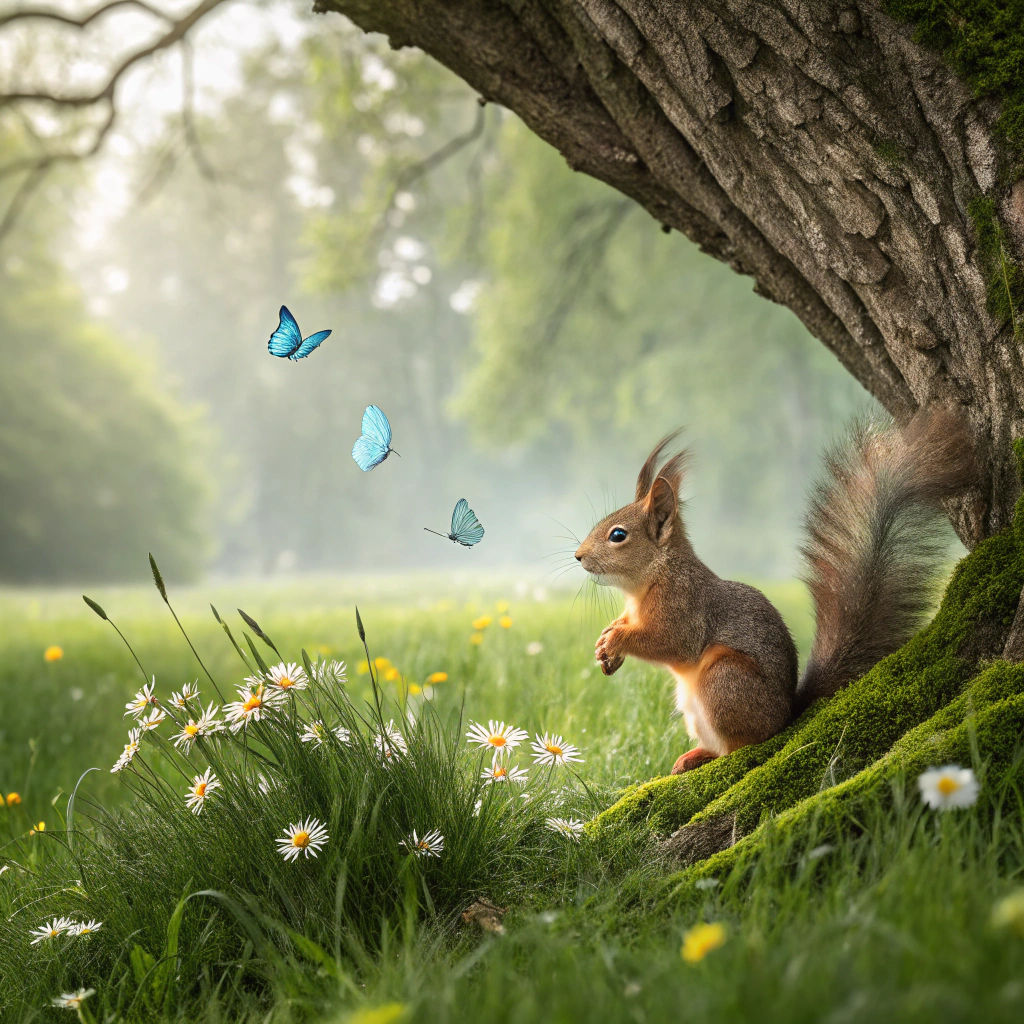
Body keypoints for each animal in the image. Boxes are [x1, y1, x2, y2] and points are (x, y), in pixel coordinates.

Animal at [574, 407, 976, 774]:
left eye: (618, 535)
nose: (578, 557)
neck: (646, 583)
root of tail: (786, 714)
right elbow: (625, 625)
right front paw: (605, 643)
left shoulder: (684, 608)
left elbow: (669, 641)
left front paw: (617, 641)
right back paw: (694, 756)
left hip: (725, 679)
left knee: (744, 744)